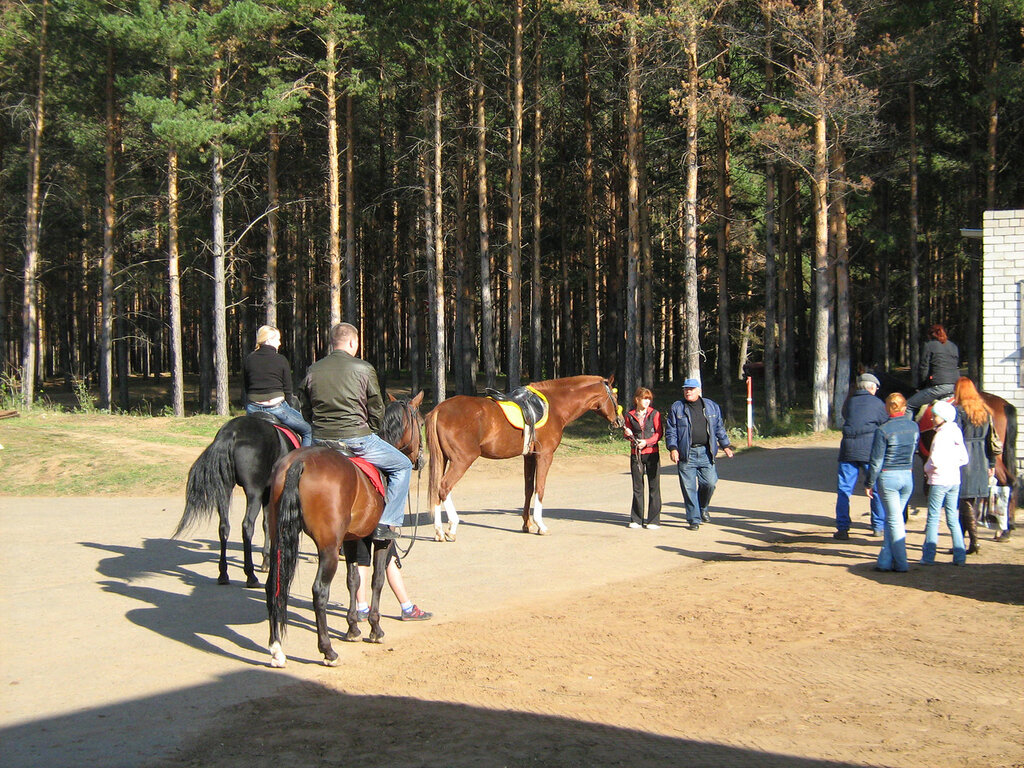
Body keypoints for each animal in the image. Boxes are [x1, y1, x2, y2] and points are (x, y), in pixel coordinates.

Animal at [174, 417, 296, 585]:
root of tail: (231, 432)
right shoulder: (269, 492)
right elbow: (270, 524)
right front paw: (267, 561)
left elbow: (266, 524)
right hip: (254, 492)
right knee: (247, 526)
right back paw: (250, 575)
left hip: (225, 489)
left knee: (224, 527)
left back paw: (223, 574)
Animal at [266, 391, 425, 667]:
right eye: (422, 422)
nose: (420, 460)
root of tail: (299, 462)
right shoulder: (381, 541)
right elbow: (377, 580)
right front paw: (375, 628)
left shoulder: (352, 540)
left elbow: (353, 580)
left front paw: (353, 628)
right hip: (328, 548)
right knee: (319, 591)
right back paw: (328, 651)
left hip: (280, 538)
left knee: (273, 585)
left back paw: (277, 650)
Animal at [423, 376, 622, 540]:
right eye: (615, 396)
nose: (619, 420)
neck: (554, 406)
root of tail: (439, 409)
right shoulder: (545, 455)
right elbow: (540, 489)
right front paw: (541, 525)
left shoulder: (530, 457)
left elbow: (528, 489)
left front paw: (527, 524)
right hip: (462, 460)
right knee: (444, 487)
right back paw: (452, 527)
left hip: (443, 459)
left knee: (436, 489)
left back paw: (439, 531)